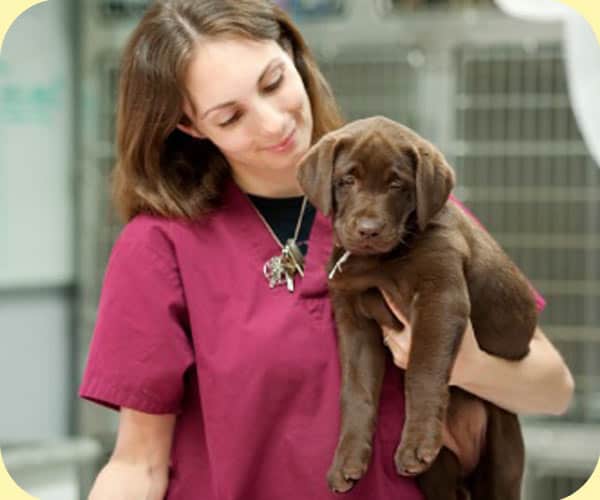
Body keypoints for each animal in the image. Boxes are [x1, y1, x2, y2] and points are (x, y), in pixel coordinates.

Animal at [298, 117, 536, 500]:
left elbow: (423, 369)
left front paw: (416, 443)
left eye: (397, 184)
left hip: (502, 456)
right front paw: (347, 460)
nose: (368, 230)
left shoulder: (441, 295)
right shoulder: (354, 320)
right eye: (347, 180)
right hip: (437, 476)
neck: (378, 262)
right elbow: (356, 391)